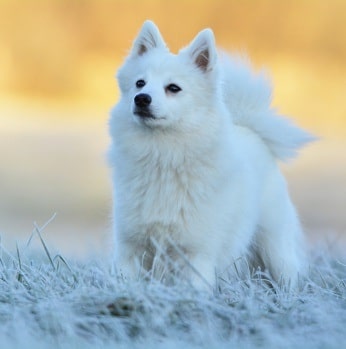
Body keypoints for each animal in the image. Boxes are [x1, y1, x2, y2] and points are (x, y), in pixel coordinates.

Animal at [109, 21, 314, 288]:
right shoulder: (130, 248)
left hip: (275, 246)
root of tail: (250, 129)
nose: (141, 99)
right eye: (140, 83)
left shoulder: (196, 253)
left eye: (173, 88)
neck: (162, 156)